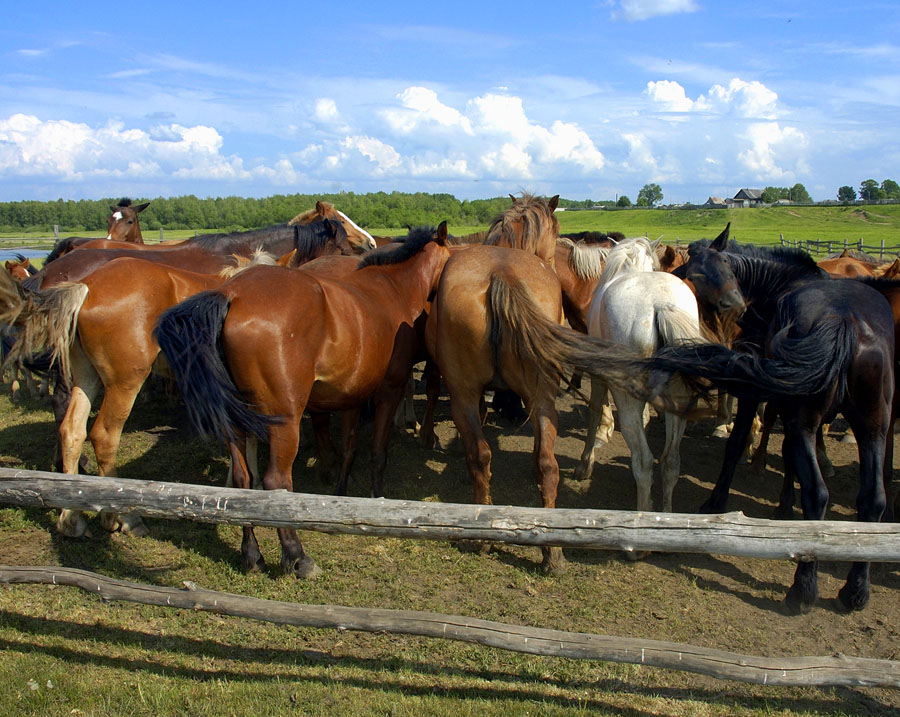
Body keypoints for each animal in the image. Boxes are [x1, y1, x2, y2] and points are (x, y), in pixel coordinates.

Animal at [155, 228, 454, 576]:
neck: (392, 288)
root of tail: (232, 295)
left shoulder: (351, 396)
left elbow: (349, 446)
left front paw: (342, 491)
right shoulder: (389, 391)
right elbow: (378, 452)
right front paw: (376, 498)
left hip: (236, 423)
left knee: (243, 481)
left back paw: (251, 554)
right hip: (285, 423)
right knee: (276, 482)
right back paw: (297, 556)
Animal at [576, 238, 712, 512]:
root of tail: (661, 305)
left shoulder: (598, 376)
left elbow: (595, 413)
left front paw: (585, 465)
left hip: (626, 397)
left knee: (644, 460)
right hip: (677, 402)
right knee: (670, 461)